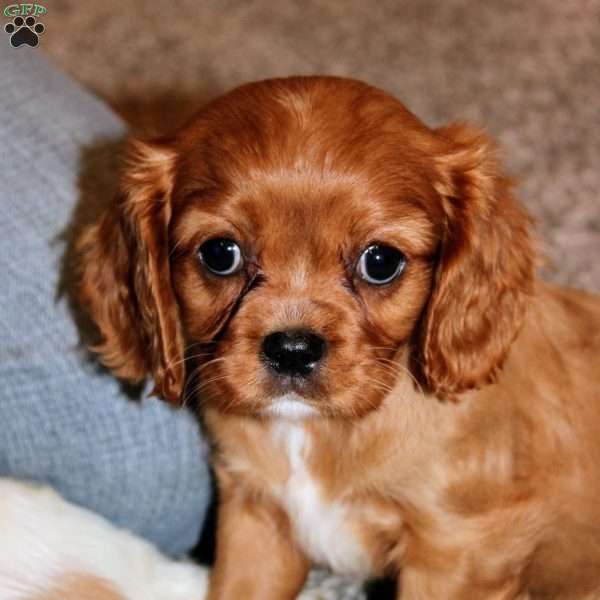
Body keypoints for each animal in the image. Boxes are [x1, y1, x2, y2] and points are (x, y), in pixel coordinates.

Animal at [77, 77, 600, 596]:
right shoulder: (257, 520)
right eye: (220, 253)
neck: (314, 430)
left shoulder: (458, 549)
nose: (292, 350)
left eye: (381, 261)